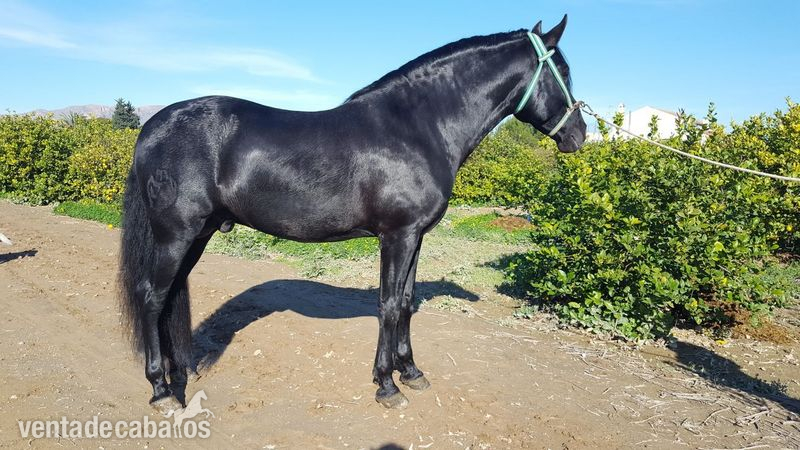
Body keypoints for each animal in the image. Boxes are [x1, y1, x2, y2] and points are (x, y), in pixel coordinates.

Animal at [119, 15, 586, 412]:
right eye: (562, 71)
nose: (579, 135)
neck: (418, 128)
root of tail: (152, 127)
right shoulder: (397, 235)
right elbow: (389, 306)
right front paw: (387, 385)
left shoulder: (416, 237)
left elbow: (406, 302)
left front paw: (411, 372)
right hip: (176, 234)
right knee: (152, 297)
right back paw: (161, 390)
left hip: (198, 235)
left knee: (171, 297)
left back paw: (180, 372)